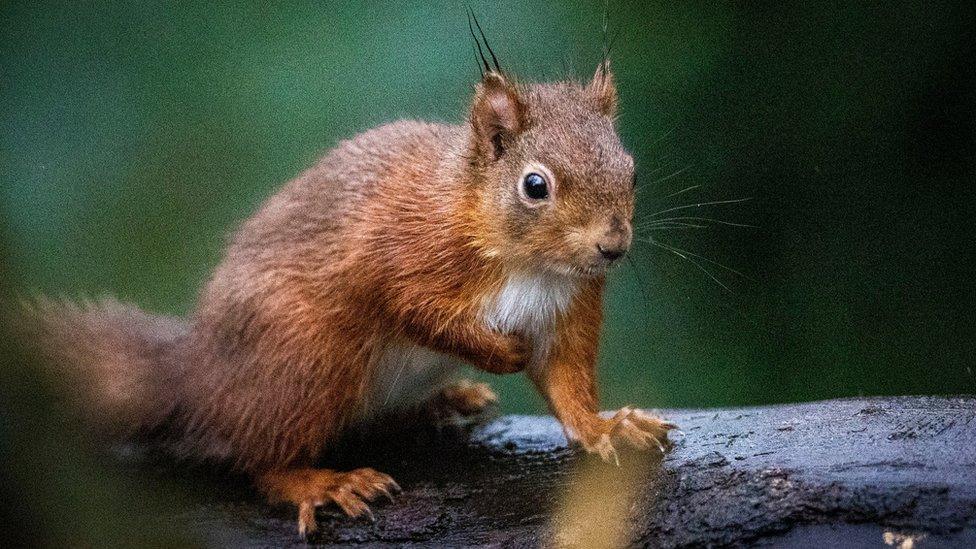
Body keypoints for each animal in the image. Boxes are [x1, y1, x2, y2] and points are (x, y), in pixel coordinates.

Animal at [26, 50, 676, 536]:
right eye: (534, 186)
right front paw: (500, 353)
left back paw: (442, 401)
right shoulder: (394, 255)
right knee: (257, 458)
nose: (612, 246)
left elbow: (566, 380)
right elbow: (414, 310)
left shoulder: (570, 306)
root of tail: (200, 379)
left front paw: (603, 427)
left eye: (631, 169)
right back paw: (321, 481)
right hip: (308, 358)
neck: (528, 263)